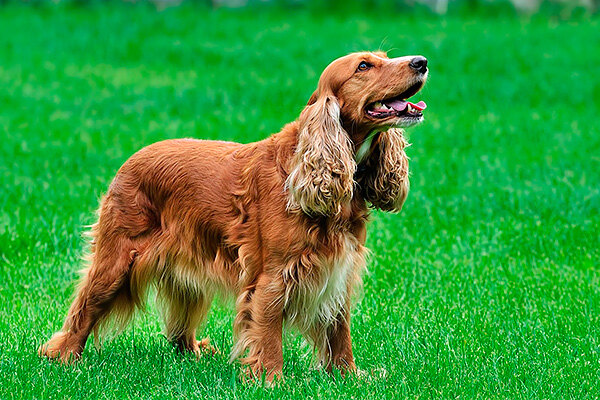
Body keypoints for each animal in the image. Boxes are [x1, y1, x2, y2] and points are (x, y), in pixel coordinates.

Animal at [38, 50, 426, 382]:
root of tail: (131, 160)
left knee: (178, 329)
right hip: (117, 259)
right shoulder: (273, 276)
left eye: (386, 57)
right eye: (364, 66)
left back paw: (194, 353)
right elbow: (268, 333)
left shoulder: (338, 269)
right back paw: (63, 357)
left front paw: (348, 377)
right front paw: (271, 380)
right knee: (83, 310)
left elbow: (339, 330)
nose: (421, 62)